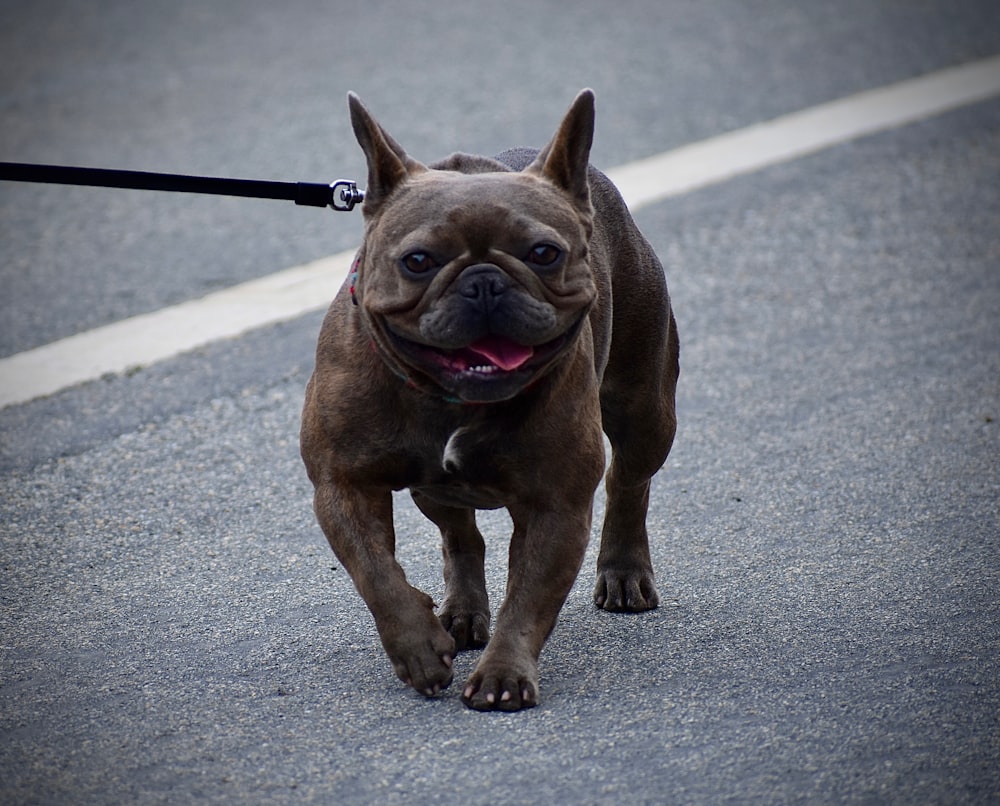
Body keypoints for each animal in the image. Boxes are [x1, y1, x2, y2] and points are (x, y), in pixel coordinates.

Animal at [298, 91, 680, 712]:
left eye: (545, 253)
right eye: (417, 261)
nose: (483, 281)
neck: (451, 397)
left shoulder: (557, 506)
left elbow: (528, 599)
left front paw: (503, 675)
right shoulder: (343, 486)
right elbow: (375, 574)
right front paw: (418, 648)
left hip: (646, 411)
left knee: (629, 480)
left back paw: (623, 571)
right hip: (433, 486)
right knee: (461, 535)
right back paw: (460, 612)